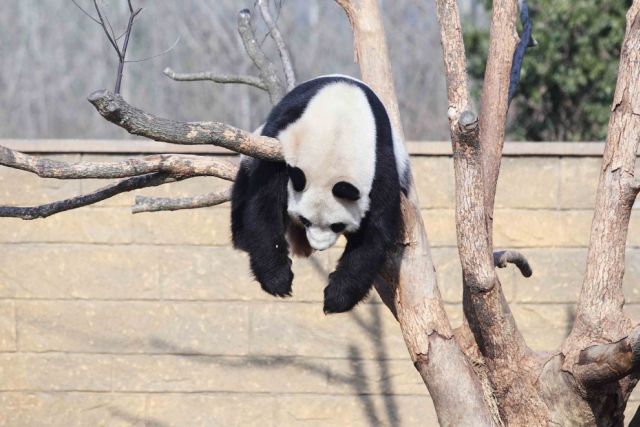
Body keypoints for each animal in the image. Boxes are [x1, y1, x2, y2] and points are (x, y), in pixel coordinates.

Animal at [230, 75, 410, 312]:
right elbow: (263, 204)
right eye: (305, 220)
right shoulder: (281, 147)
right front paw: (278, 279)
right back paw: (242, 238)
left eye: (337, 226)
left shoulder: (380, 163)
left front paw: (336, 297)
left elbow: (375, 231)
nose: (319, 246)